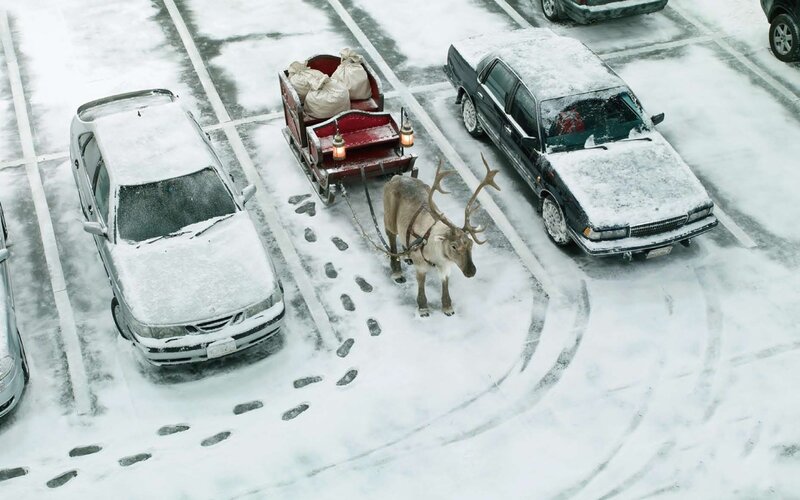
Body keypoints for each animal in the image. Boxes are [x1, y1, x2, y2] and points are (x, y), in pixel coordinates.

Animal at [382, 154, 500, 317]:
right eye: (454, 246)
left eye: (471, 244)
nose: (471, 271)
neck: (436, 256)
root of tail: (396, 177)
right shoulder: (421, 265)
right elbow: (421, 283)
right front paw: (423, 307)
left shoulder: (445, 265)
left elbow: (445, 283)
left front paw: (447, 307)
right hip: (389, 219)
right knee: (391, 237)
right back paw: (397, 272)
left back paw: (406, 255)